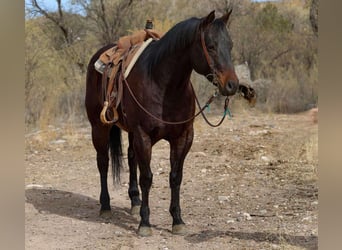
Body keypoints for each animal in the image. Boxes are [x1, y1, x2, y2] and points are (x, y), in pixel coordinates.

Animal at [85, 10, 239, 236]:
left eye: (230, 45)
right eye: (210, 46)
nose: (232, 85)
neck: (163, 84)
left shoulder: (183, 137)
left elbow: (175, 177)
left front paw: (177, 220)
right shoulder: (143, 136)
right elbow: (147, 178)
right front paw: (145, 223)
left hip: (130, 132)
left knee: (131, 158)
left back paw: (135, 201)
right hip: (99, 127)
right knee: (103, 162)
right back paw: (105, 206)